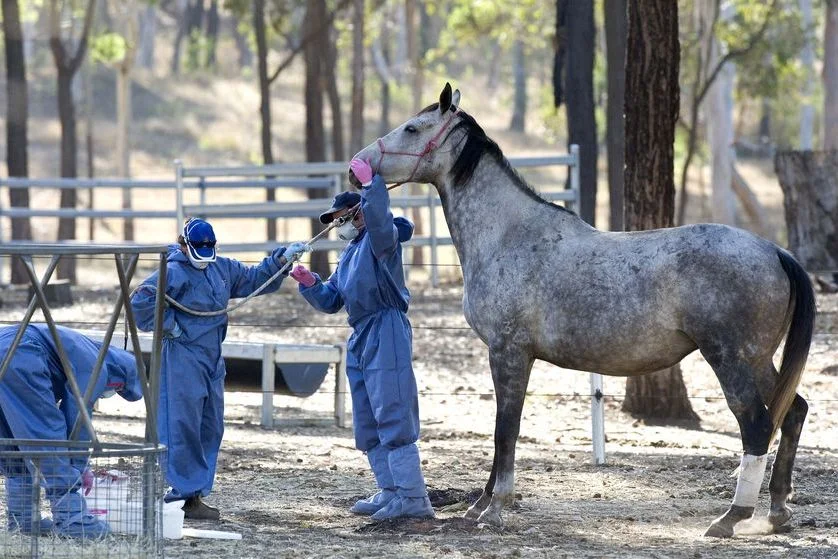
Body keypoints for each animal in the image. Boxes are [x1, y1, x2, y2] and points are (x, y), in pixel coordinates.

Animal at [350, 83, 815, 538]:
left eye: (412, 128)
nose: (358, 168)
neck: (509, 236)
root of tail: (774, 251)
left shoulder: (508, 352)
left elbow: (505, 429)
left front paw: (495, 508)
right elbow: (503, 428)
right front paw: (481, 504)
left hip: (730, 358)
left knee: (756, 423)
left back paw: (732, 516)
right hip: (758, 359)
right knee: (793, 411)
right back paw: (776, 511)